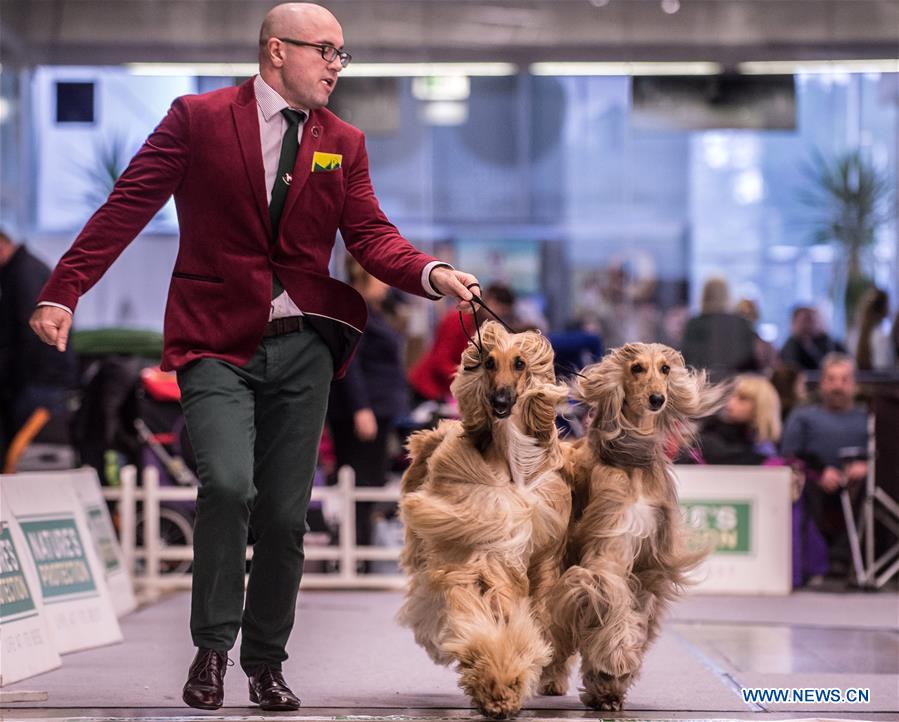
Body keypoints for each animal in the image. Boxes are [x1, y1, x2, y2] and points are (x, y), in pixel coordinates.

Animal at [400, 322, 568, 720]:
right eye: (489, 362)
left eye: (520, 362)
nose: (501, 403)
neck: (511, 460)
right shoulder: (480, 547)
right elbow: (480, 607)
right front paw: (496, 682)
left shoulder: (527, 554)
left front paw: (505, 683)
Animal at [540, 342, 724, 708]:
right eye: (637, 368)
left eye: (665, 368)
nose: (657, 399)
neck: (632, 460)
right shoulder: (612, 540)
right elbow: (610, 599)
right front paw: (612, 668)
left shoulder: (650, 563)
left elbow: (638, 614)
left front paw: (609, 683)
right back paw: (551, 675)